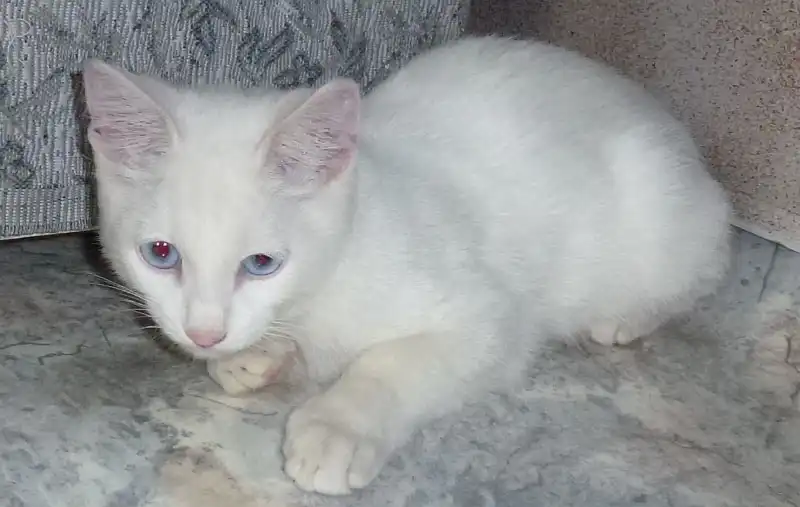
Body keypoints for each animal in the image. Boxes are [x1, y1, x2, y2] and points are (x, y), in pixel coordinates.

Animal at [83, 35, 732, 496]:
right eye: (160, 254)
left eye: (261, 263)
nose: (204, 333)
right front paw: (250, 358)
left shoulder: (490, 318)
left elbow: (395, 362)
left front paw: (338, 427)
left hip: (661, 206)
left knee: (707, 263)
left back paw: (627, 316)